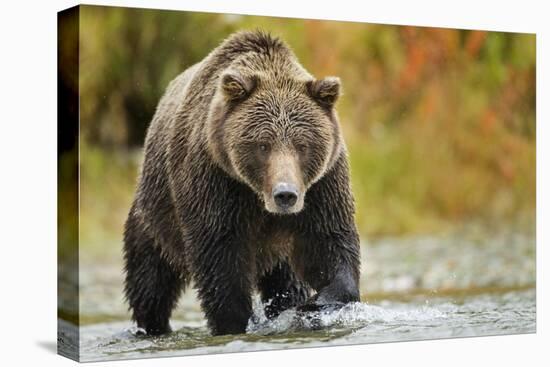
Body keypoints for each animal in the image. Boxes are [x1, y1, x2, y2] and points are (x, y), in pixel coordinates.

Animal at [124, 30, 362, 338]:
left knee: (287, 281)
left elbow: (329, 243)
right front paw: (234, 322)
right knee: (150, 281)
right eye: (263, 144)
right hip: (155, 217)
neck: (257, 196)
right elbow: (220, 259)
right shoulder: (215, 181)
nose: (285, 194)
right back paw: (153, 326)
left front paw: (315, 303)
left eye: (302, 145)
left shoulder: (322, 185)